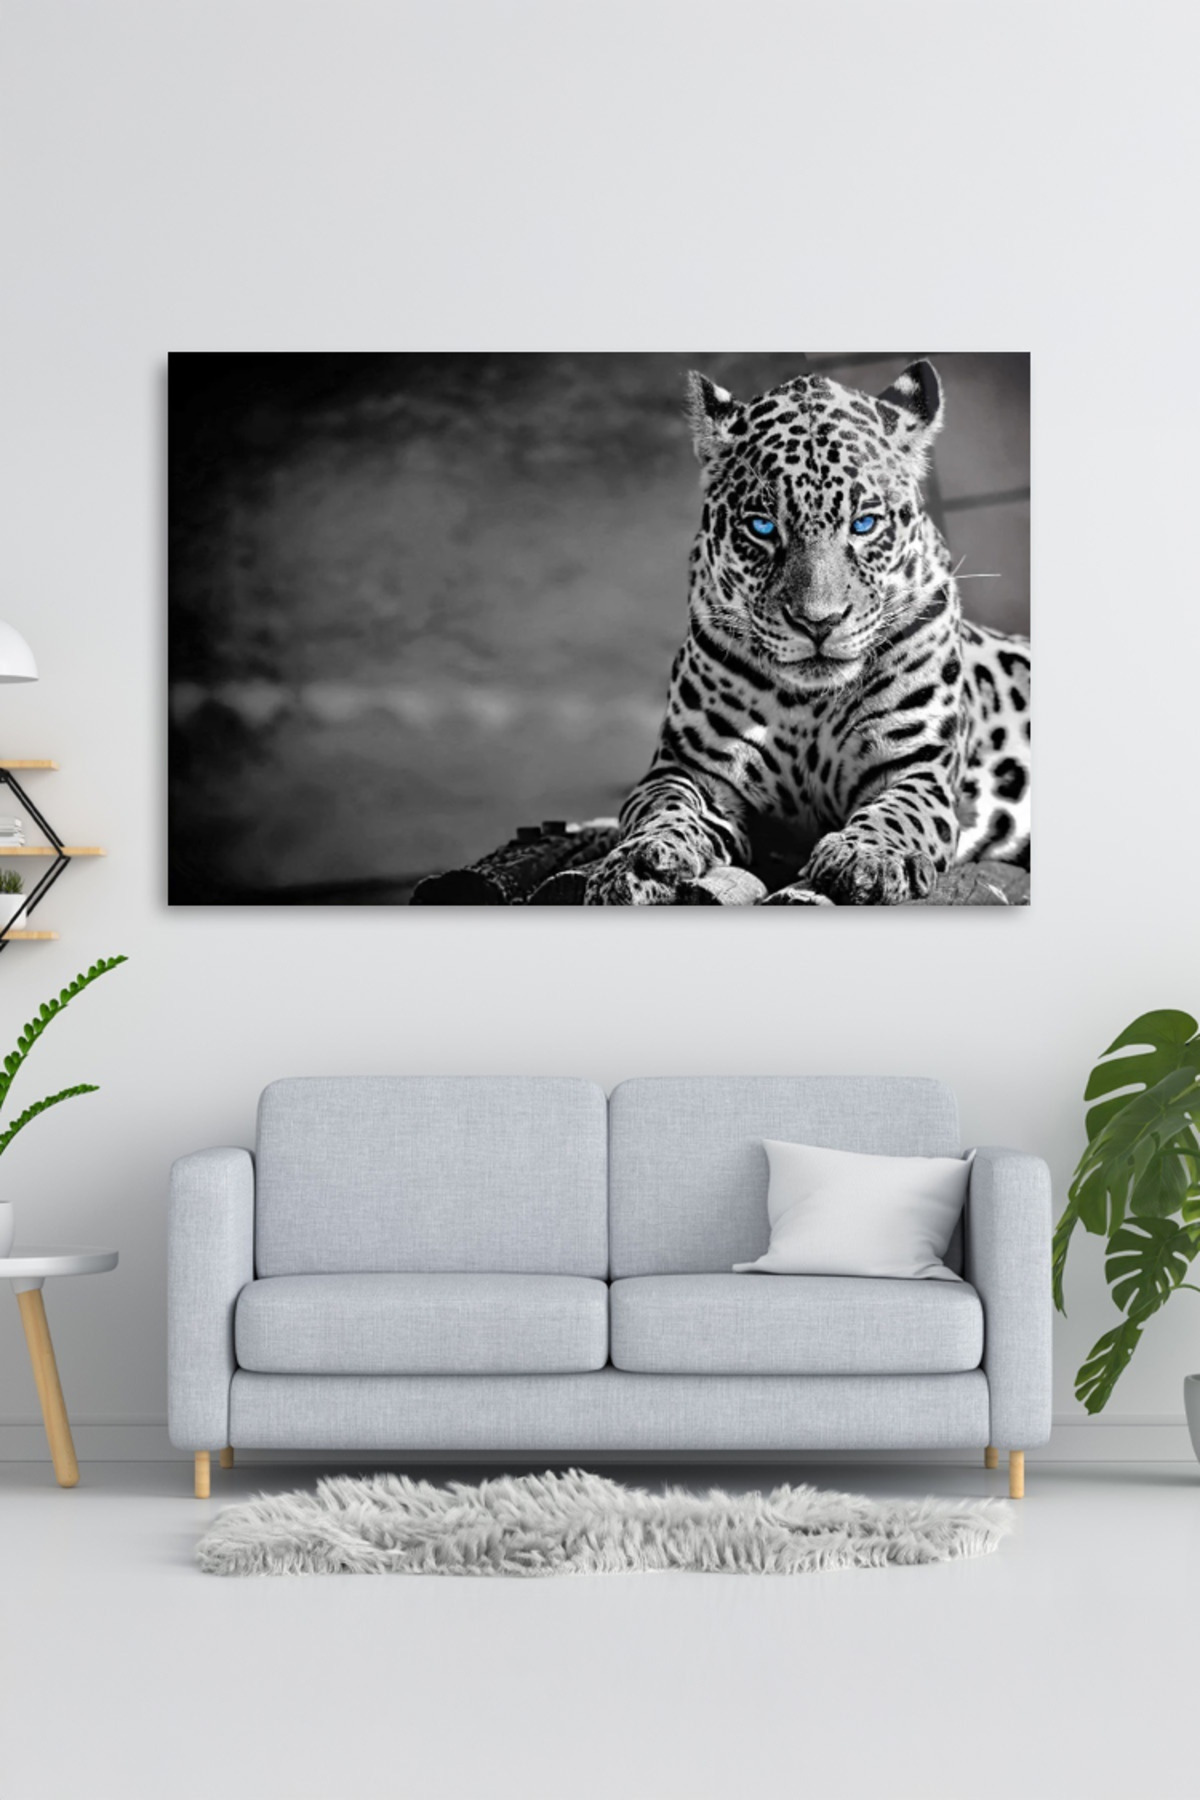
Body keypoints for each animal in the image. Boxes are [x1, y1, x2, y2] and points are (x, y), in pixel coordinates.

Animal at [584, 358, 1030, 906]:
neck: (811, 704)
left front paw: (867, 857)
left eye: (864, 524)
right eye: (762, 527)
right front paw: (641, 860)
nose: (819, 622)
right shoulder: (689, 768)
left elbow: (896, 813)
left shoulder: (917, 767)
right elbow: (663, 807)